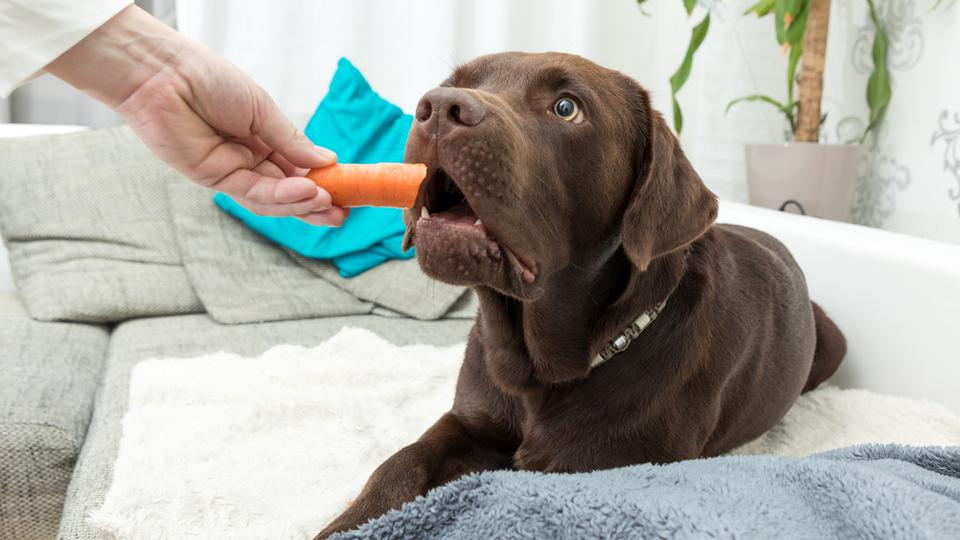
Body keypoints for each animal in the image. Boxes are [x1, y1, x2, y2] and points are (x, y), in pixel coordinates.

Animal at [314, 51, 840, 540]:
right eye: (455, 83)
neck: (536, 369)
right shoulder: (467, 421)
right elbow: (402, 462)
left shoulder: (602, 469)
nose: (439, 107)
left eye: (566, 107)